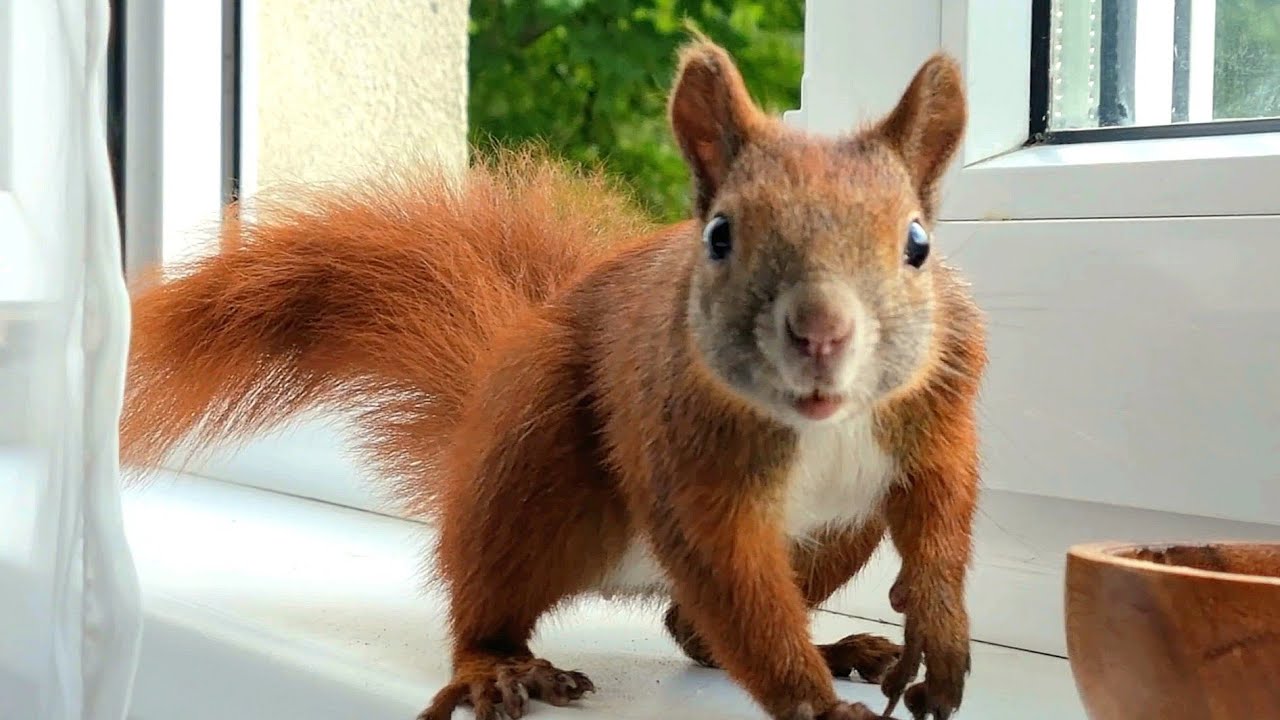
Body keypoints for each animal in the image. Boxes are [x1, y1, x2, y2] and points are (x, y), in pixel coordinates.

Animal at [121, 38, 985, 720]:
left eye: (917, 242)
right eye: (719, 235)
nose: (821, 333)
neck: (822, 421)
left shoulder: (942, 407)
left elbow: (944, 508)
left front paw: (937, 625)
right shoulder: (683, 452)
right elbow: (732, 580)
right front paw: (817, 707)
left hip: (836, 533)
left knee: (694, 630)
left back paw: (840, 649)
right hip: (530, 467)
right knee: (495, 604)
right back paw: (497, 667)